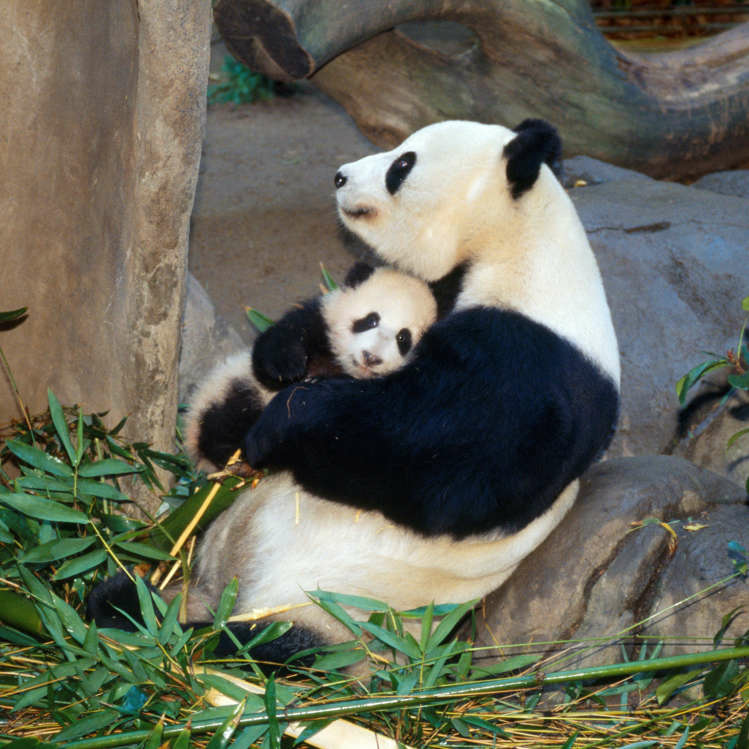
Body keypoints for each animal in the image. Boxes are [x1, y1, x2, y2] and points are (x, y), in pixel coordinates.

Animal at [92, 118, 620, 668]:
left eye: (402, 164)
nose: (341, 176)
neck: (519, 243)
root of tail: (224, 595)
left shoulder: (527, 364)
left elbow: (430, 462)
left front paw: (280, 425)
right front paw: (279, 374)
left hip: (336, 612)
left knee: (266, 645)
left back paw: (174, 634)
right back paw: (123, 601)